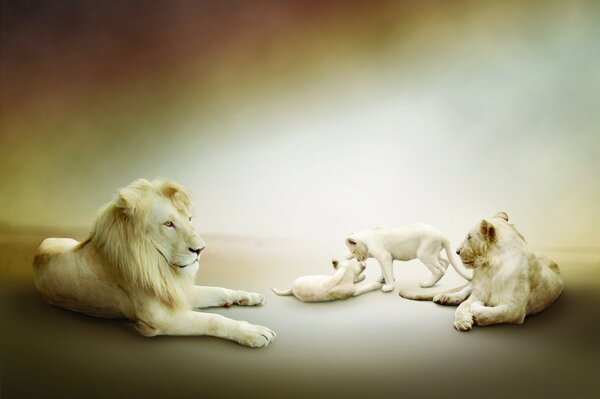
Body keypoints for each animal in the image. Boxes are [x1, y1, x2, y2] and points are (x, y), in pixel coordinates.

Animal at [31, 180, 276, 348]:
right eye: (168, 224)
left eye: (189, 219)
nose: (201, 250)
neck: (160, 266)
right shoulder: (159, 319)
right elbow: (213, 319)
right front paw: (253, 332)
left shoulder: (176, 291)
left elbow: (218, 290)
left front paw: (248, 296)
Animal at [344, 225, 472, 294]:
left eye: (353, 252)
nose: (358, 260)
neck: (367, 238)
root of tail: (442, 235)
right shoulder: (386, 258)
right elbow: (384, 271)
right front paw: (381, 280)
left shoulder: (385, 256)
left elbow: (387, 272)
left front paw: (389, 287)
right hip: (434, 253)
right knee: (445, 262)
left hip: (424, 254)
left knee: (439, 270)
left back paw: (427, 284)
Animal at [398, 212, 564, 332]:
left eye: (469, 237)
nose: (457, 251)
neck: (490, 267)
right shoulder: (480, 290)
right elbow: (462, 305)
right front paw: (462, 322)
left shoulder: (515, 309)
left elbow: (490, 313)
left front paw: (476, 310)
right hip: (473, 284)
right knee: (465, 291)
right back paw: (444, 297)